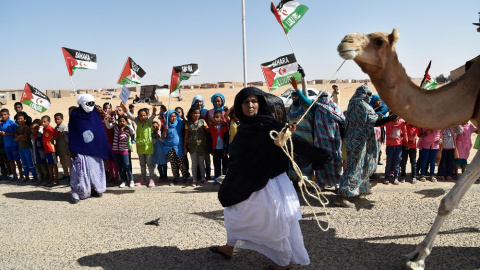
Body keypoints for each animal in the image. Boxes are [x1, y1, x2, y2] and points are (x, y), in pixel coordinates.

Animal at [336, 28, 480, 268]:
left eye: (379, 41)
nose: (344, 41)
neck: (471, 91)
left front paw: (419, 257)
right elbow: (447, 201)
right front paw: (418, 255)